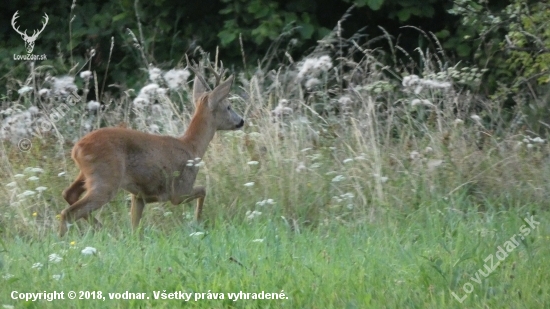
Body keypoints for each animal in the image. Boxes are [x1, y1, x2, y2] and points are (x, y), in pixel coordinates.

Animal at [58, 70, 246, 235]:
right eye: (228, 106)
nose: (241, 121)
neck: (192, 147)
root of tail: (77, 148)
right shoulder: (179, 189)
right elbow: (203, 190)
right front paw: (197, 223)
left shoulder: (139, 196)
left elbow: (135, 226)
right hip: (106, 178)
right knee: (69, 212)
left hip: (87, 174)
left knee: (69, 194)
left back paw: (104, 230)